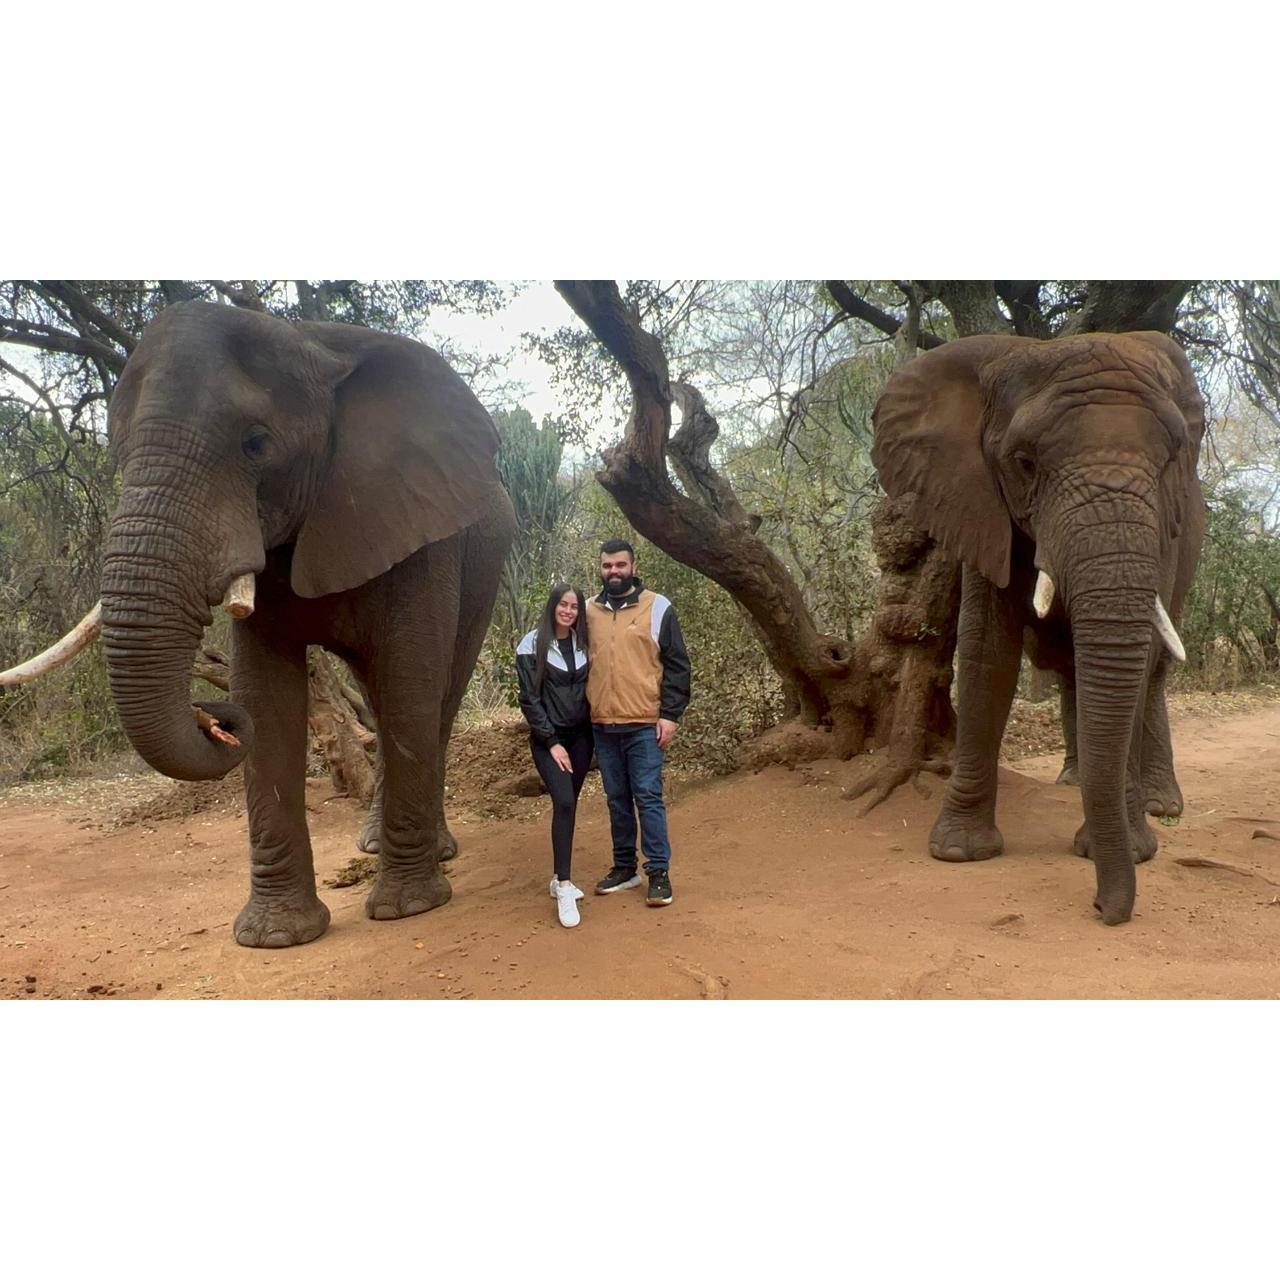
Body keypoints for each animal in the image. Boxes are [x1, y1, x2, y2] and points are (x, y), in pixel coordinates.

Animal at [92, 300, 514, 947]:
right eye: (116, 448)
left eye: (256, 443)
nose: (214, 719)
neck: (314, 348)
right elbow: (265, 698)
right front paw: (275, 938)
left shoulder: (423, 531)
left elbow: (413, 677)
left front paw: (409, 909)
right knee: (377, 695)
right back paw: (371, 844)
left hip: (484, 570)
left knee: (434, 695)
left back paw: (434, 855)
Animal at [871, 330, 1205, 925]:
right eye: (1024, 464)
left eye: (1171, 461)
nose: (1102, 907)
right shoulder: (979, 503)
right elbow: (986, 650)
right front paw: (959, 852)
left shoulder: (1167, 527)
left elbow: (1139, 657)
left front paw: (1133, 849)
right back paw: (1073, 782)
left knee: (1156, 674)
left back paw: (1160, 804)